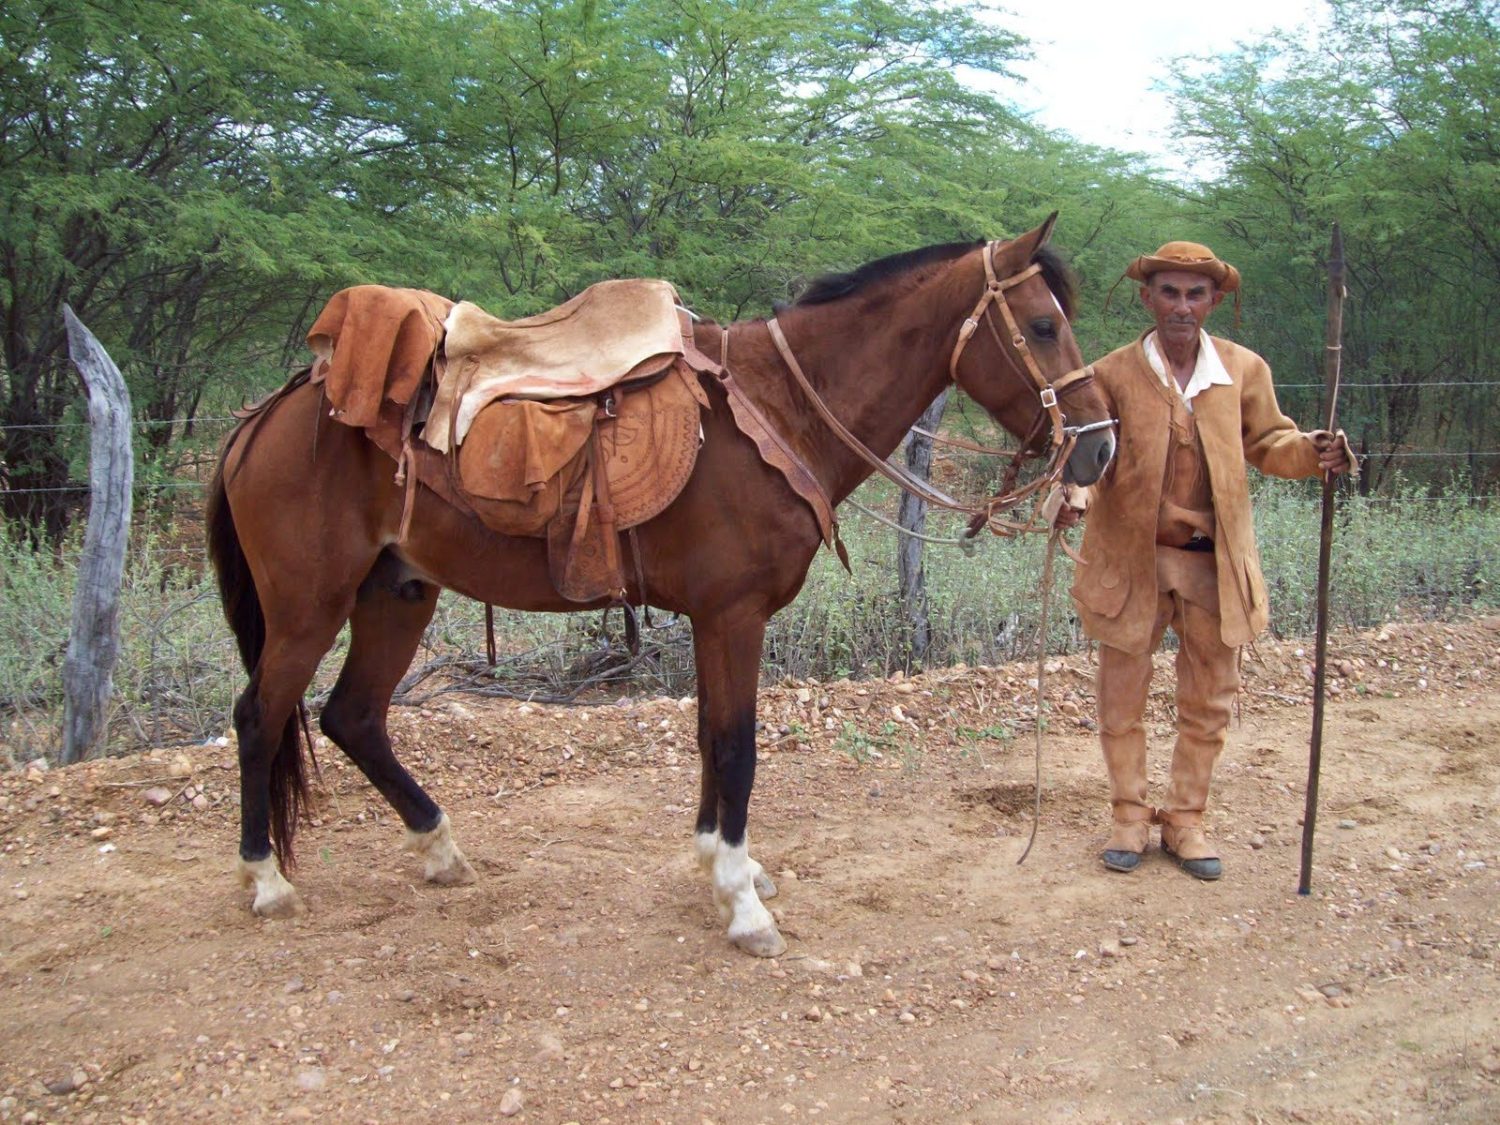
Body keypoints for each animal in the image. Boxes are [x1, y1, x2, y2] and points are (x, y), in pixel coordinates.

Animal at [205, 213, 1116, 960]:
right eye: (1043, 324)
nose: (1101, 447)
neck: (775, 413)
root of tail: (267, 413)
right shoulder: (734, 616)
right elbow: (736, 746)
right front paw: (744, 906)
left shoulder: (716, 619)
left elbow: (712, 738)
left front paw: (719, 864)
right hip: (309, 606)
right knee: (261, 715)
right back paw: (266, 880)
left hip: (395, 594)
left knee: (352, 717)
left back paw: (439, 848)